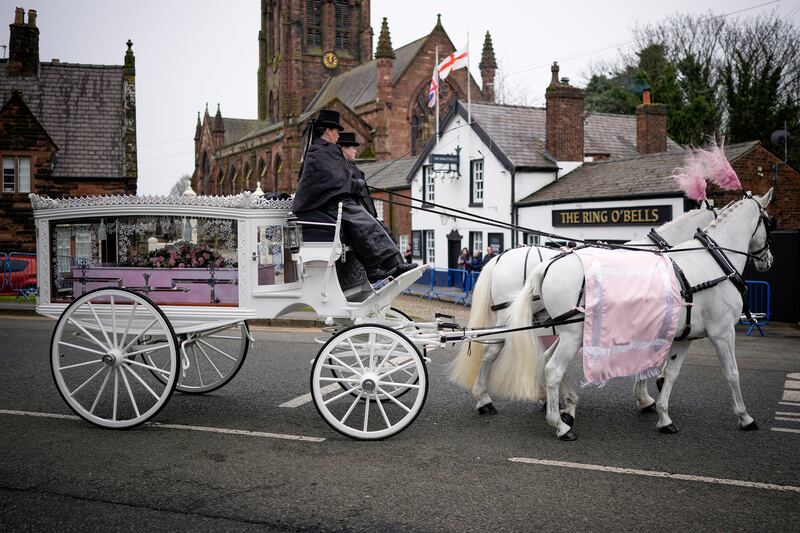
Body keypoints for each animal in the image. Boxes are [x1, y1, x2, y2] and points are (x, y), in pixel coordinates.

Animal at [504, 189, 772, 438]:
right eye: (770, 222)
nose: (767, 260)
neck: (710, 262)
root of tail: (549, 264)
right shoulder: (722, 331)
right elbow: (732, 373)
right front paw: (745, 417)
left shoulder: (683, 334)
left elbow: (669, 372)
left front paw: (660, 411)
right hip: (572, 334)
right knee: (552, 369)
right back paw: (559, 424)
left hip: (569, 332)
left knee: (547, 359)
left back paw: (564, 406)